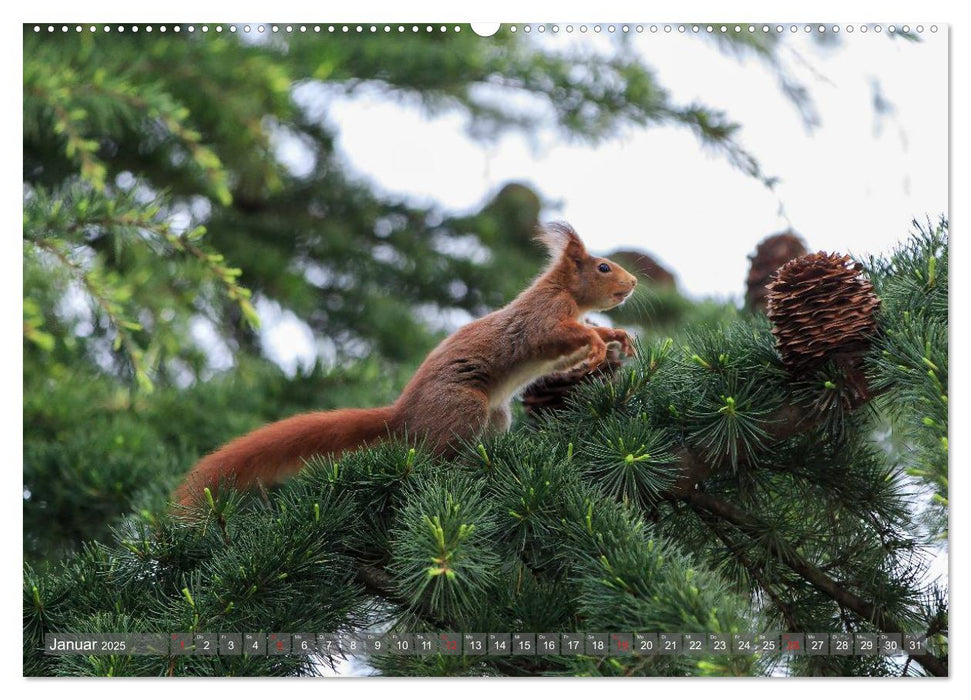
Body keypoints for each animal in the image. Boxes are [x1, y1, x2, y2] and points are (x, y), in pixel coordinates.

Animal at [177, 221, 636, 506]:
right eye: (603, 266)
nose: (633, 283)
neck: (566, 293)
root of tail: (402, 414)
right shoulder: (542, 318)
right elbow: (554, 336)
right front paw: (598, 343)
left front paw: (617, 337)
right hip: (463, 406)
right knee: (433, 458)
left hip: (495, 416)